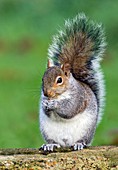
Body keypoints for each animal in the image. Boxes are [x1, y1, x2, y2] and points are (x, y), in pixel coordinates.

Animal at [39, 13, 105, 151]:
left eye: (59, 80)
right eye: (43, 79)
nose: (47, 93)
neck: (60, 95)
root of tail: (66, 143)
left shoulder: (79, 97)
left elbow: (69, 109)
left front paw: (54, 105)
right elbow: (46, 111)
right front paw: (45, 104)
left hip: (86, 130)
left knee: (82, 140)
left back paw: (79, 143)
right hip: (47, 132)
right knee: (53, 141)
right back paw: (50, 145)